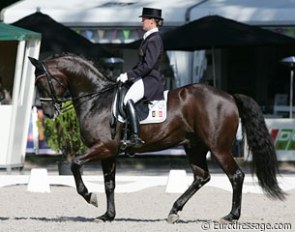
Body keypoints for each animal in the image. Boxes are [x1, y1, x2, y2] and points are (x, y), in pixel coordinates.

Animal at [27, 53, 286, 224]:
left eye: (41, 82)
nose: (48, 113)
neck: (97, 99)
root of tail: (230, 96)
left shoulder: (103, 147)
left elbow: (75, 164)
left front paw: (90, 197)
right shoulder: (109, 153)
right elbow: (110, 184)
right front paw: (108, 215)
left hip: (219, 148)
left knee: (236, 176)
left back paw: (231, 216)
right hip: (194, 147)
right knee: (201, 177)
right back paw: (174, 211)